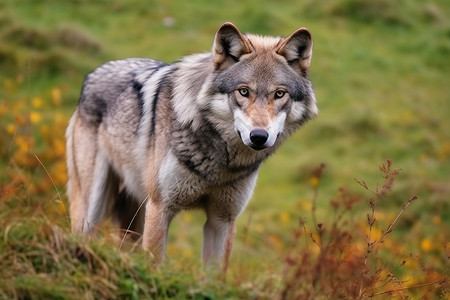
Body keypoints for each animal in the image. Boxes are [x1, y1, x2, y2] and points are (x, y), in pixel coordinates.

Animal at [67, 22, 318, 270]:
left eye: (280, 94)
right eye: (244, 91)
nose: (259, 136)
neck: (218, 162)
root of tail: (92, 74)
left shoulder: (223, 220)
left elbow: (214, 275)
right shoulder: (160, 207)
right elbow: (154, 264)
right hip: (93, 206)